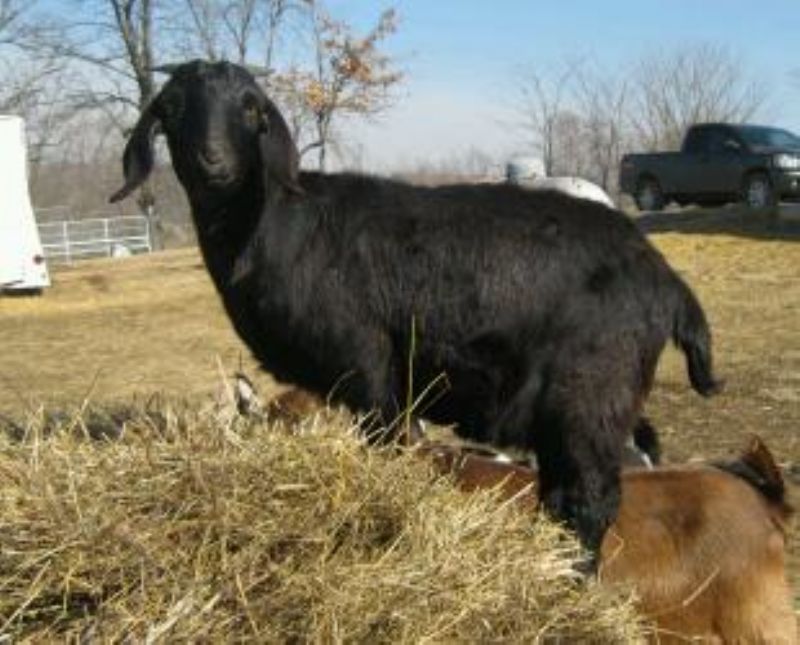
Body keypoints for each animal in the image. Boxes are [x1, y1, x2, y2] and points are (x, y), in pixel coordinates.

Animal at [109, 60, 720, 562]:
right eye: (172, 107)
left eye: (251, 108)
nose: (213, 163)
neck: (278, 222)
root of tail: (666, 280)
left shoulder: (371, 369)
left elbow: (389, 450)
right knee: (564, 498)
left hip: (591, 397)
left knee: (589, 503)